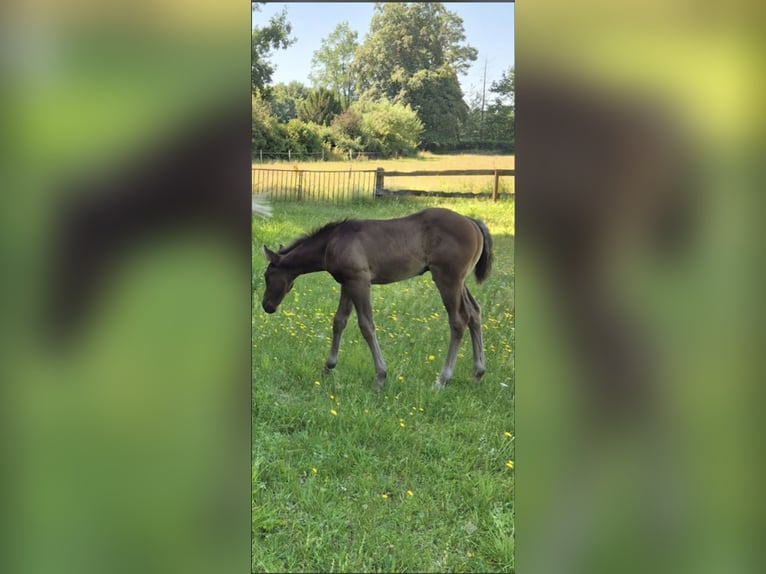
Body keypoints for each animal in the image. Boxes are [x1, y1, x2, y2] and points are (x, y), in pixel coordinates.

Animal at [261, 207, 494, 391]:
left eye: (267, 275)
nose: (266, 306)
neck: (332, 242)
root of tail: (472, 222)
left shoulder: (360, 281)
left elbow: (366, 325)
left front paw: (380, 377)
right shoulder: (347, 282)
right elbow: (339, 321)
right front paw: (328, 367)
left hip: (447, 278)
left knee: (458, 320)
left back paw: (442, 379)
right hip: (459, 281)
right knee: (474, 313)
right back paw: (478, 373)